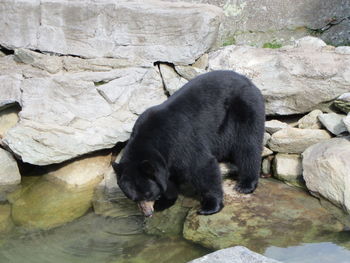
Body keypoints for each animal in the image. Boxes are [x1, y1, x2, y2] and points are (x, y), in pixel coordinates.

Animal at [113, 69, 264, 217]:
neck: (152, 139)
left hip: (243, 109)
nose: (147, 213)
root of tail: (247, 80)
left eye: (148, 194)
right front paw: (164, 202)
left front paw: (209, 207)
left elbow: (202, 166)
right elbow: (169, 178)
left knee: (248, 145)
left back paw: (245, 185)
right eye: (133, 198)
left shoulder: (180, 140)